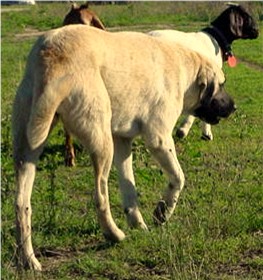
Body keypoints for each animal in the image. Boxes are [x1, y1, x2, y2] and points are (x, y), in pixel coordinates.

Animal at [12, 25, 236, 270]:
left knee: (21, 204)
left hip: (27, 149)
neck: (184, 68)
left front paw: (138, 223)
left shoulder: (122, 141)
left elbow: (129, 188)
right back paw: (114, 235)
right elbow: (178, 178)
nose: (234, 107)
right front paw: (162, 212)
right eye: (222, 84)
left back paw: (28, 259)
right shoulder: (158, 139)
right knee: (99, 196)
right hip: (101, 142)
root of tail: (51, 53)